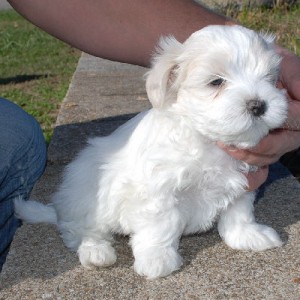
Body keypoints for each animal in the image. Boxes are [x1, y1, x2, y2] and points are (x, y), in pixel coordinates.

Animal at [15, 25, 288, 278]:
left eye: (269, 78)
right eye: (216, 82)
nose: (258, 105)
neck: (207, 140)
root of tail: (60, 208)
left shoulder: (244, 181)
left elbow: (239, 212)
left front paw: (247, 236)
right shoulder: (157, 190)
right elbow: (161, 224)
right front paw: (157, 259)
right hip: (86, 195)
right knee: (78, 228)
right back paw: (95, 251)